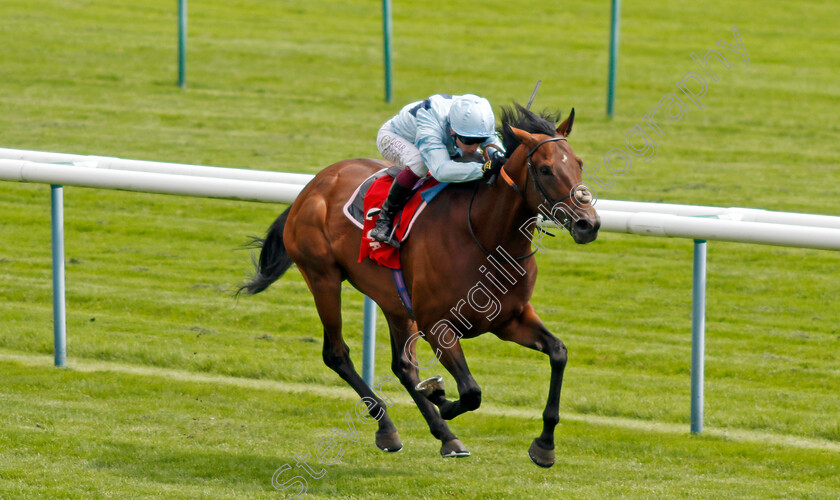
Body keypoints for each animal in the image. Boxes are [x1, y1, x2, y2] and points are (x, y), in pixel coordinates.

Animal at [240, 103, 600, 466]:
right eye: (545, 169)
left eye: (579, 163)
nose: (589, 224)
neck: (485, 237)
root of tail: (313, 186)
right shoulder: (437, 325)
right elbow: (470, 392)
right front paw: (438, 393)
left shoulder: (509, 319)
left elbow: (558, 353)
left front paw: (545, 444)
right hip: (322, 278)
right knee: (337, 354)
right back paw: (388, 427)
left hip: (393, 301)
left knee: (402, 366)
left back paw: (445, 436)